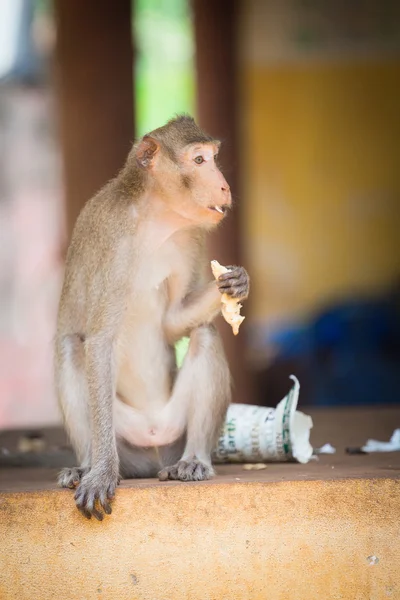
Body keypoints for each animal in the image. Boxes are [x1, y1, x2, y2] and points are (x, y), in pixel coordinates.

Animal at [55, 115, 250, 516]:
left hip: (174, 429)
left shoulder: (191, 237)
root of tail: (154, 436)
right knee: (71, 346)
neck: (156, 218)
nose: (224, 185)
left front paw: (234, 282)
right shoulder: (113, 236)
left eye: (212, 157)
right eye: (199, 160)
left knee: (205, 332)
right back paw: (87, 464)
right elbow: (100, 340)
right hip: (126, 442)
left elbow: (173, 323)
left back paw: (194, 459)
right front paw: (102, 472)